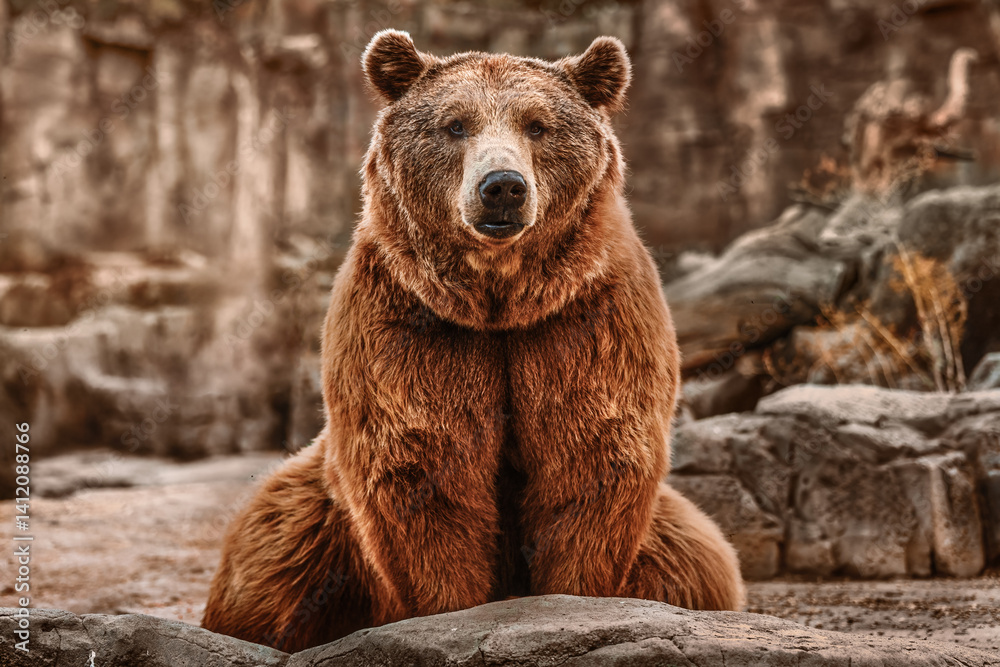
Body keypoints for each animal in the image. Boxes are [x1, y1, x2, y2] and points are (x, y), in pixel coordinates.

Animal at [202, 30, 745, 652]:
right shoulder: (413, 326)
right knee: (273, 564)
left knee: (698, 565)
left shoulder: (584, 321)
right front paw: (448, 613)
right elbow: (426, 467)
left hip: (678, 537)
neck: (499, 300)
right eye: (455, 124)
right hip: (309, 509)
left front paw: (578, 601)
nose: (502, 187)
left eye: (538, 125)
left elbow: (591, 457)